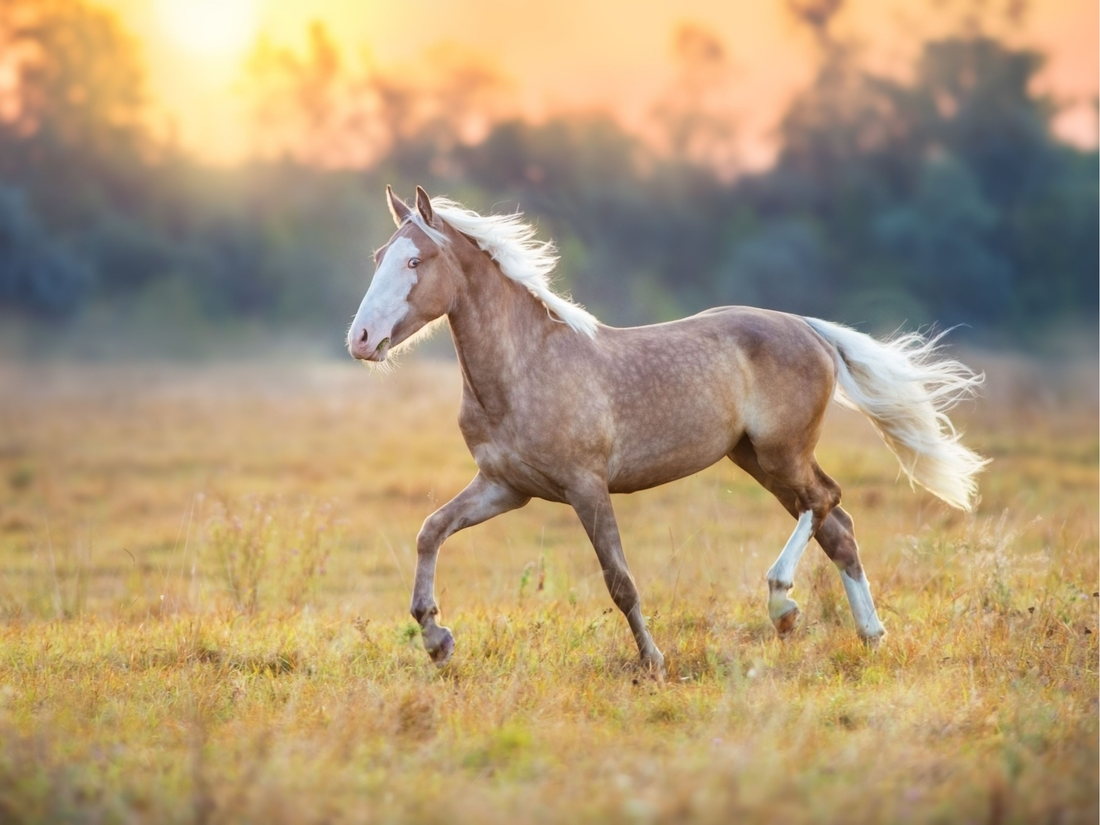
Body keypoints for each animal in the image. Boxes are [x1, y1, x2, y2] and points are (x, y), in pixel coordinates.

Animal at [347, 185, 989, 676]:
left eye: (414, 262)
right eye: (377, 255)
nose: (360, 339)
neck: (524, 366)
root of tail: (808, 328)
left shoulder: (585, 487)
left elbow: (620, 580)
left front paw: (653, 662)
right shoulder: (506, 487)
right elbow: (431, 531)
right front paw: (437, 639)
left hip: (781, 453)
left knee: (825, 501)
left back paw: (782, 604)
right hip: (756, 459)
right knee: (840, 528)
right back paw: (869, 635)